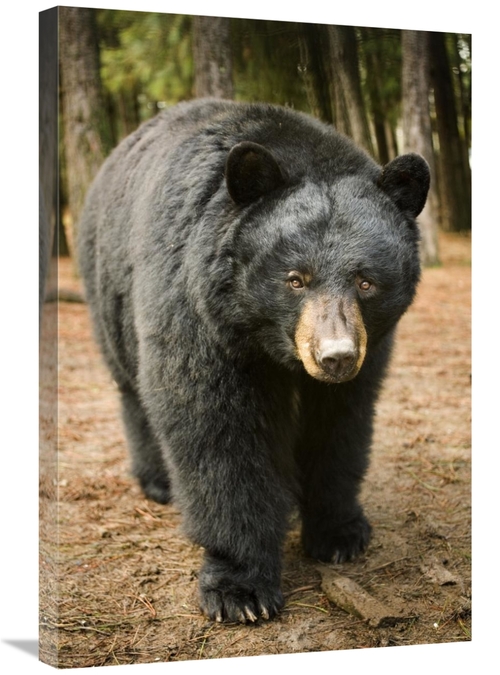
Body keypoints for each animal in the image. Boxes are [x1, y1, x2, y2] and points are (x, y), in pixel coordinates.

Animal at [77, 98, 429, 624]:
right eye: (295, 279)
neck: (263, 339)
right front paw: (239, 587)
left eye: (366, 281)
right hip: (108, 290)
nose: (335, 357)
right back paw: (157, 481)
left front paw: (340, 532)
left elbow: (341, 423)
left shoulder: (369, 351)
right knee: (132, 389)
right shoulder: (197, 312)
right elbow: (216, 431)